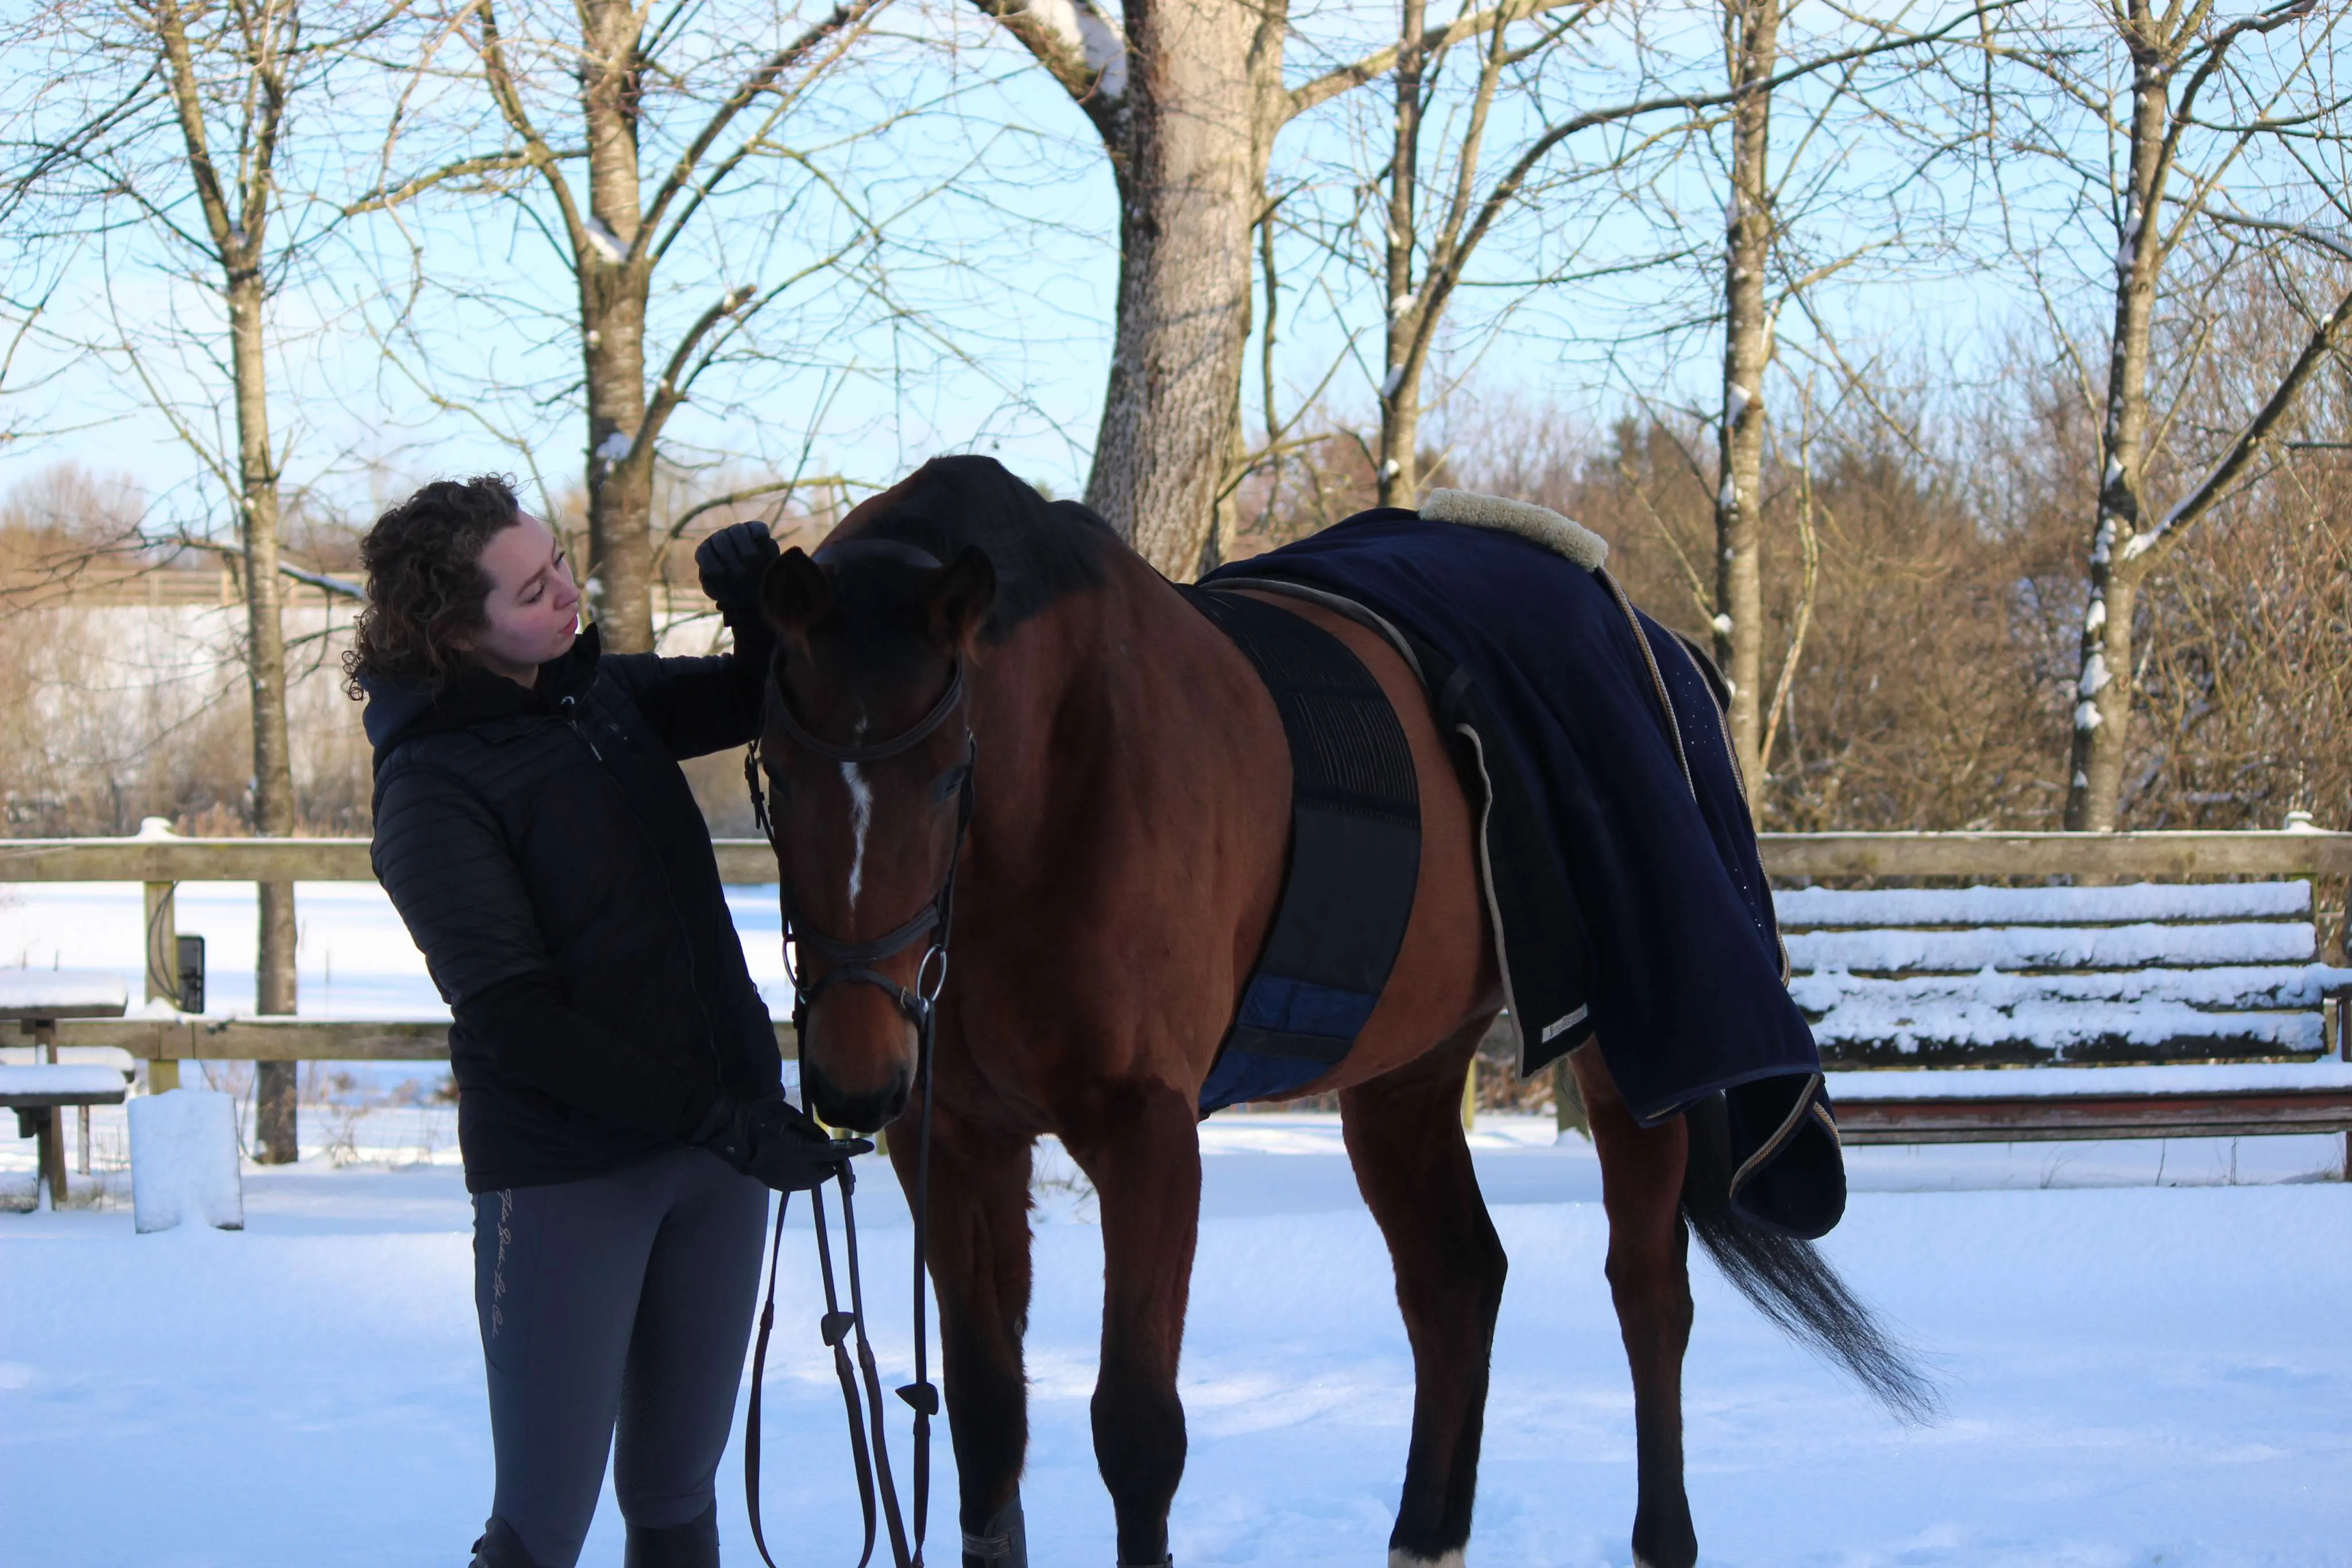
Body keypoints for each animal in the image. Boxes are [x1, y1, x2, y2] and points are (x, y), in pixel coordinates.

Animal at [748, 455, 1924, 1568]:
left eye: (952, 774)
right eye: (777, 770)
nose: (854, 1073)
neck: (1058, 784)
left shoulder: (1146, 1132)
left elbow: (1138, 1432)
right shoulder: (954, 1138)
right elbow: (990, 1421)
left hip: (1628, 1057)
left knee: (1648, 1292)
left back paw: (1659, 1535)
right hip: (1403, 1070)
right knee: (1457, 1282)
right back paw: (1426, 1534)